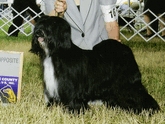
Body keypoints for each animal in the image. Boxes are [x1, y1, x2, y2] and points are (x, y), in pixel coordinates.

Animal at [29, 15, 160, 113]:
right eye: (39, 24)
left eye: (52, 24)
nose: (38, 32)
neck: (56, 53)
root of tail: (125, 50)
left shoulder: (71, 87)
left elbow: (73, 100)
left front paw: (75, 112)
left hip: (129, 84)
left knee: (140, 94)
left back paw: (150, 109)